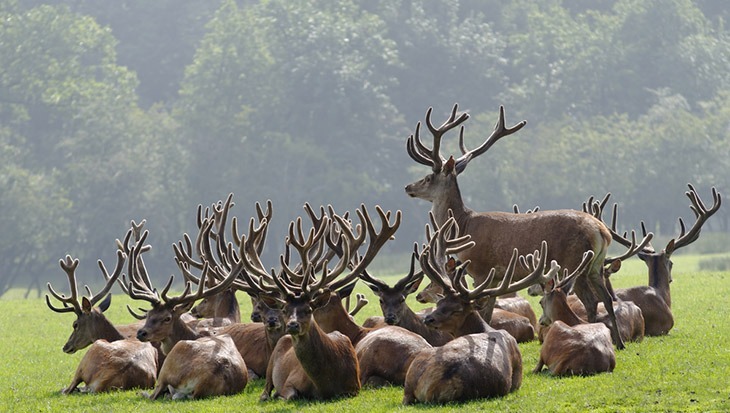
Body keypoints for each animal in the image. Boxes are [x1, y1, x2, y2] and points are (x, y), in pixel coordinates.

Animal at [400, 104, 624, 348]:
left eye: (428, 177)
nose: (408, 187)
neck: (465, 224)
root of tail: (602, 231)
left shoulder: (481, 269)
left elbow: (483, 310)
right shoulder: (496, 276)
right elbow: (487, 311)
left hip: (575, 263)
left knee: (591, 301)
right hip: (596, 266)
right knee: (607, 298)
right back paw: (619, 342)